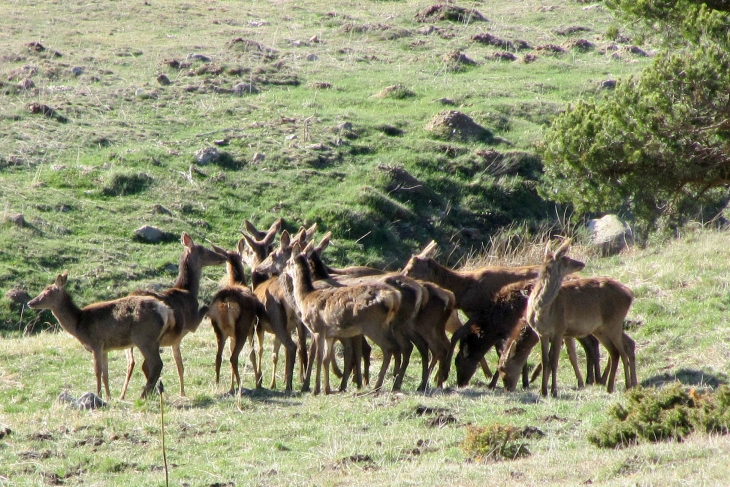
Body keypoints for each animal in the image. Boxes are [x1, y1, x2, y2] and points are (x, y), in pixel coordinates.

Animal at [27, 270, 176, 400]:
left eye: (47, 291)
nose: (30, 302)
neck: (78, 324)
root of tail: (167, 311)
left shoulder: (96, 343)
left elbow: (97, 371)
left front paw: (98, 395)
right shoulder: (105, 348)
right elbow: (105, 374)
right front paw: (109, 397)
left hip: (144, 337)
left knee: (156, 364)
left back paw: (144, 395)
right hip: (154, 339)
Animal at [121, 234, 226, 400]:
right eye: (204, 249)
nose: (224, 257)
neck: (188, 291)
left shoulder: (175, 340)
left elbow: (179, 365)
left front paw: (182, 392)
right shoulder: (192, 323)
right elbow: (205, 306)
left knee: (132, 362)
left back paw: (124, 395)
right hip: (150, 338)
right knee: (148, 365)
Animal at [206, 238, 268, 394]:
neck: (238, 282)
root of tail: (225, 302)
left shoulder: (231, 335)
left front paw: (231, 385)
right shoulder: (253, 327)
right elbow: (252, 354)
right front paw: (258, 382)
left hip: (218, 329)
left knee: (219, 356)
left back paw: (218, 384)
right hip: (242, 328)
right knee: (233, 357)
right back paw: (241, 386)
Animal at [276, 242, 398, 394]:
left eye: (288, 262)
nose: (283, 270)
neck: (305, 298)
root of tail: (393, 298)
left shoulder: (318, 328)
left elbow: (317, 357)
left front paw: (315, 389)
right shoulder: (329, 334)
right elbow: (326, 359)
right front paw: (326, 389)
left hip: (373, 324)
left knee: (389, 348)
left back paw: (376, 387)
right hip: (385, 325)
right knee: (395, 347)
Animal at [524, 239, 636, 396]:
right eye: (566, 258)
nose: (581, 263)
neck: (541, 310)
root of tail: (629, 294)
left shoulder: (560, 329)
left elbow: (554, 360)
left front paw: (553, 391)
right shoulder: (542, 333)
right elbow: (545, 360)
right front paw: (543, 391)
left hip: (614, 322)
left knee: (621, 351)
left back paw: (627, 386)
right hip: (601, 328)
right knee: (619, 349)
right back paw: (614, 386)